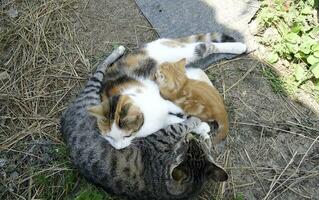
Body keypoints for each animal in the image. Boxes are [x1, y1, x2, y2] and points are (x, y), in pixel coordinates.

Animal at [86, 32, 246, 148]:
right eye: (108, 137)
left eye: (127, 135)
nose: (118, 148)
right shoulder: (164, 118)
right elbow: (177, 122)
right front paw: (200, 128)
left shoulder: (162, 99)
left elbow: (178, 111)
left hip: (183, 53)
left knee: (205, 46)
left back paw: (239, 47)